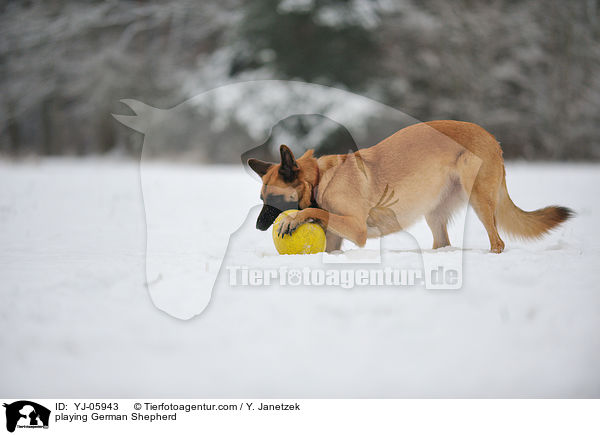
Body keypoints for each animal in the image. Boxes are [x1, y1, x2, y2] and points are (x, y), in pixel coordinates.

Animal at [247, 121, 572, 254]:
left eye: (273, 198)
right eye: (261, 197)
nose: (259, 227)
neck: (320, 178)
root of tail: (493, 139)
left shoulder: (356, 228)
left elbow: (315, 211)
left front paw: (291, 219)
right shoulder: (336, 239)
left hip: (478, 198)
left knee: (498, 242)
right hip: (435, 213)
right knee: (443, 242)